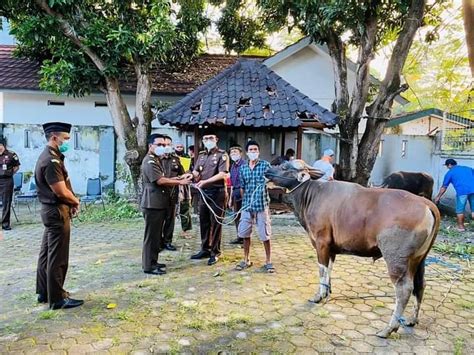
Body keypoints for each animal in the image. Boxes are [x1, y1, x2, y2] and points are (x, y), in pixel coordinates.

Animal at [266, 161, 440, 340]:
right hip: (419, 259)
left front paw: (318, 296)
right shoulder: (331, 249)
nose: (267, 170)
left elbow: (322, 270)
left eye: (285, 166)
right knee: (420, 285)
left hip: (396, 259)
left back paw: (388, 329)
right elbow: (329, 270)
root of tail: (427, 204)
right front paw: (327, 292)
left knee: (404, 290)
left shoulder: (321, 243)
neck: (313, 194)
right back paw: (412, 320)